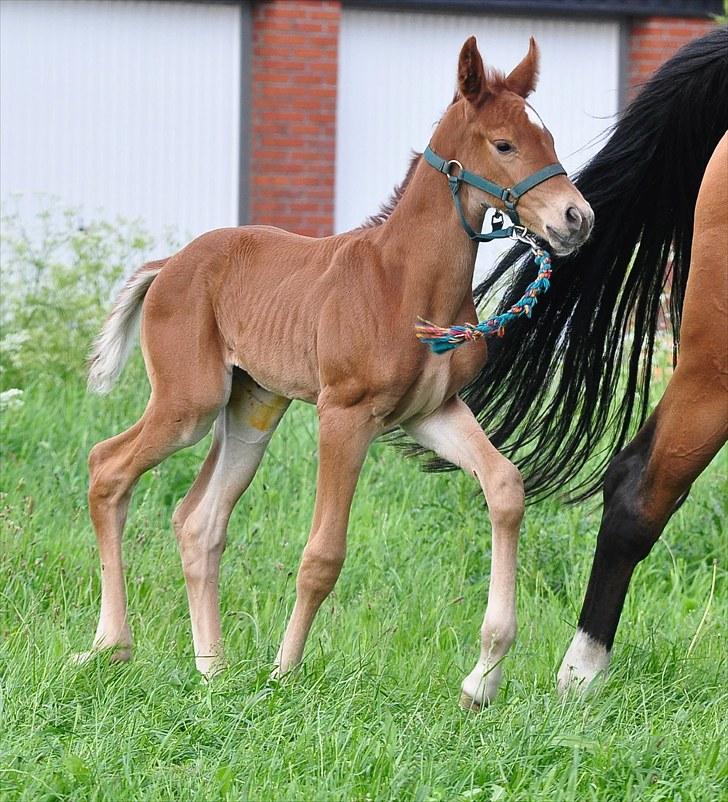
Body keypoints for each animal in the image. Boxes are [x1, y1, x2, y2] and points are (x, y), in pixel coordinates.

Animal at [79, 36, 592, 708]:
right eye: (505, 144)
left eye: (549, 137)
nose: (577, 218)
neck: (405, 283)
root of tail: (169, 265)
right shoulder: (344, 414)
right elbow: (324, 552)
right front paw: (284, 671)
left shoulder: (432, 412)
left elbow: (505, 485)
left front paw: (483, 677)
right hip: (189, 402)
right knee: (108, 467)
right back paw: (112, 645)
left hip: (251, 410)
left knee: (198, 520)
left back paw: (212, 669)